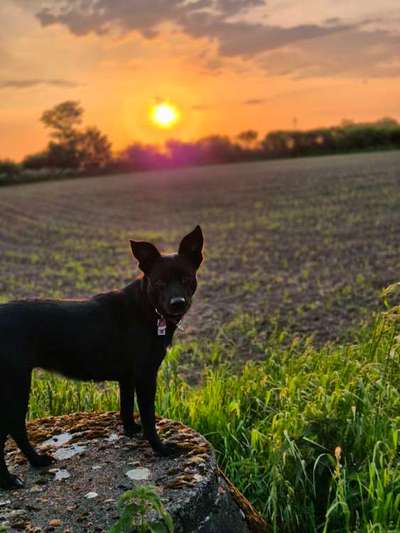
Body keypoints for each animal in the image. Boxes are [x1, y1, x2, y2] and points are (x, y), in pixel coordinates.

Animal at [0, 225, 205, 490]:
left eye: (186, 279)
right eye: (160, 282)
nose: (177, 303)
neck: (148, 306)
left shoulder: (128, 378)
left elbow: (126, 407)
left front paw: (131, 430)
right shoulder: (146, 375)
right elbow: (149, 417)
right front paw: (160, 448)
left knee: (15, 428)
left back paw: (36, 461)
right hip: (15, 385)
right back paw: (10, 480)